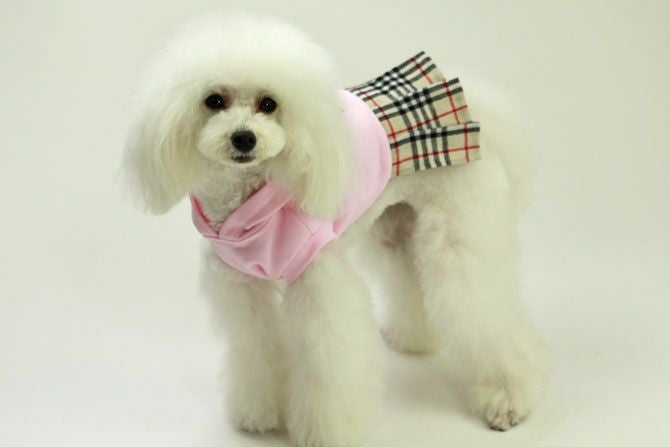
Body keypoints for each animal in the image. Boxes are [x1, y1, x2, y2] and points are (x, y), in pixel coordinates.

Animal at [123, 12, 547, 447]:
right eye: (214, 100)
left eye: (269, 104)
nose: (244, 138)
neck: (245, 201)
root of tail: (470, 105)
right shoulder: (242, 287)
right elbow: (257, 347)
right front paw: (259, 415)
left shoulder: (319, 281)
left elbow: (326, 362)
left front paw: (324, 431)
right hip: (397, 226)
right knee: (410, 276)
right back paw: (414, 339)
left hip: (459, 230)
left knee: (485, 309)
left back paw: (508, 398)